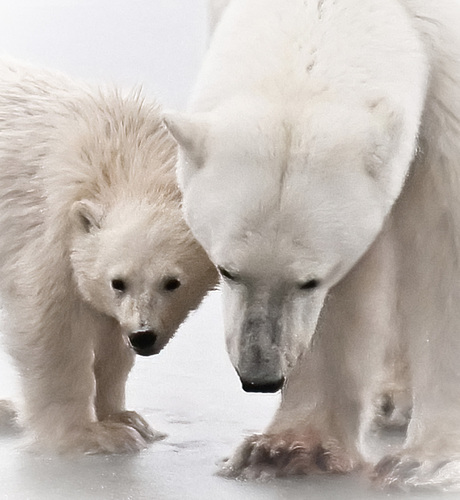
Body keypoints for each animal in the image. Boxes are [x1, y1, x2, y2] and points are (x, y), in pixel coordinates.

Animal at [0, 57, 217, 454]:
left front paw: (129, 420)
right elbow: (51, 333)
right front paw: (90, 434)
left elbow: (111, 343)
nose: (144, 336)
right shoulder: (51, 232)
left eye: (172, 282)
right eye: (118, 281)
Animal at [164, 0, 460, 492]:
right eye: (227, 270)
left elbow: (443, 238)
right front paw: (283, 450)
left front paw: (426, 464)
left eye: (310, 281)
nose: (259, 375)